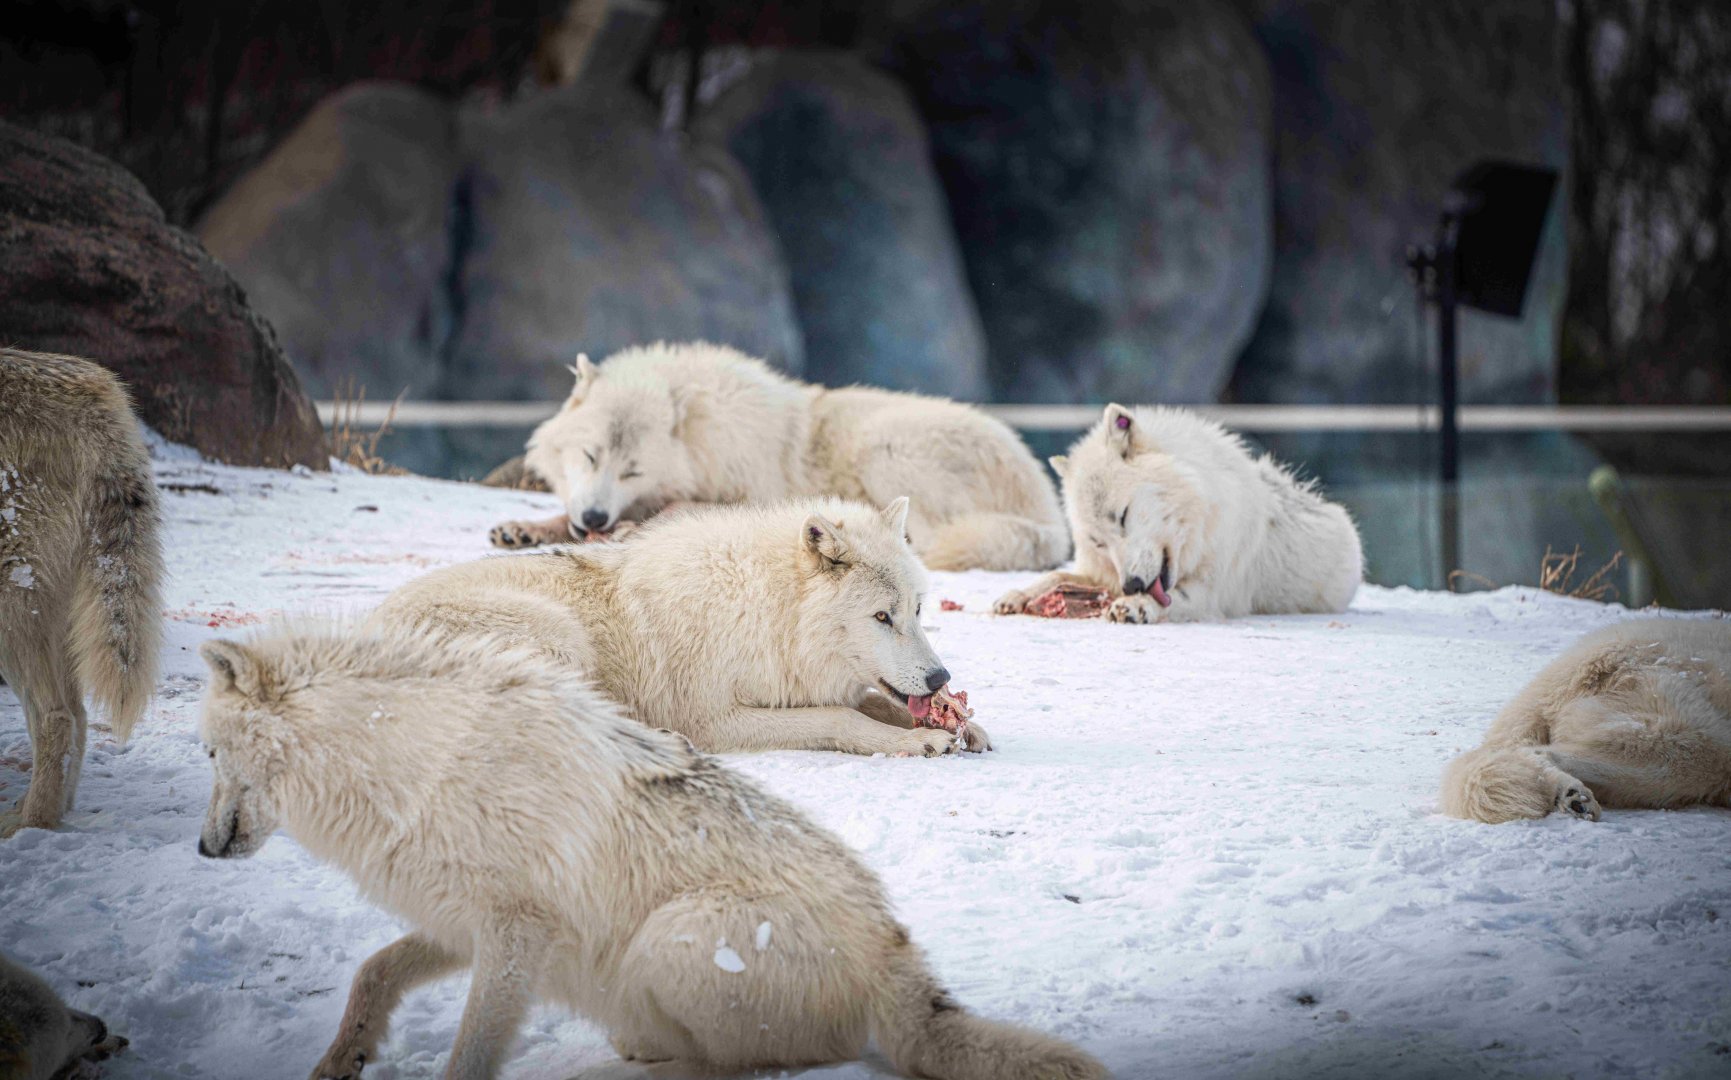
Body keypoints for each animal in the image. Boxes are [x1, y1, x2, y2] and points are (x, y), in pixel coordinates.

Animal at [194, 623, 1107, 1080]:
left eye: (205, 752)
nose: (201, 849)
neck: (411, 759)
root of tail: (900, 956)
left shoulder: (518, 934)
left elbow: (467, 1057)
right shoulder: (464, 923)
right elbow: (372, 973)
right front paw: (338, 1062)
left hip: (672, 937)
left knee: (759, 1068)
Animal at [388, 496, 990, 756]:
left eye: (916, 611)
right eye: (881, 616)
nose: (940, 679)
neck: (771, 612)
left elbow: (872, 701)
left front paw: (960, 725)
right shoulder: (717, 718)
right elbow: (842, 717)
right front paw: (916, 742)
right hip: (556, 635)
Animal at [492, 341, 1069, 571]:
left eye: (631, 469)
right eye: (590, 456)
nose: (595, 517)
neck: (707, 439)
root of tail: (1048, 506)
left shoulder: (749, 493)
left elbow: (680, 511)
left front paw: (632, 530)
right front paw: (527, 528)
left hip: (884, 449)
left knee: (926, 537)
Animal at [993, 404, 1361, 623]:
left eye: (1123, 515)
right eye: (1099, 543)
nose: (1130, 585)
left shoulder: (1213, 593)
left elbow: (1174, 599)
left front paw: (1136, 606)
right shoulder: (1101, 575)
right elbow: (1055, 576)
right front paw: (1016, 595)